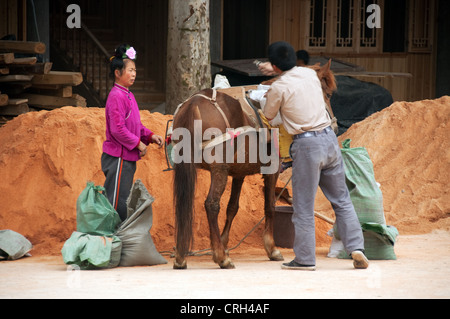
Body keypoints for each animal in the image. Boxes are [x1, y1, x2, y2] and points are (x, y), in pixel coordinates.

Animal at [171, 60, 336, 270]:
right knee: (211, 204)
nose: (335, 124)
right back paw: (221, 258)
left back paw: (182, 255)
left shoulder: (238, 173)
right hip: (219, 169)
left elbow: (232, 207)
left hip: (188, 167)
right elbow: (269, 206)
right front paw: (271, 248)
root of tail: (194, 104)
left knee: (184, 204)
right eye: (328, 94)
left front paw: (223, 243)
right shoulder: (272, 170)